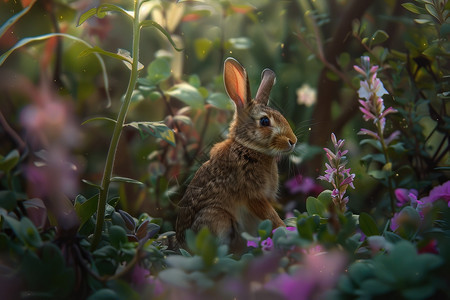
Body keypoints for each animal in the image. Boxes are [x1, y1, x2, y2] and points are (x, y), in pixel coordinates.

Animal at [177, 56, 298, 253]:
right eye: (265, 121)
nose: (293, 141)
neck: (248, 148)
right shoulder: (253, 195)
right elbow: (269, 215)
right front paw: (284, 229)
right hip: (217, 218)